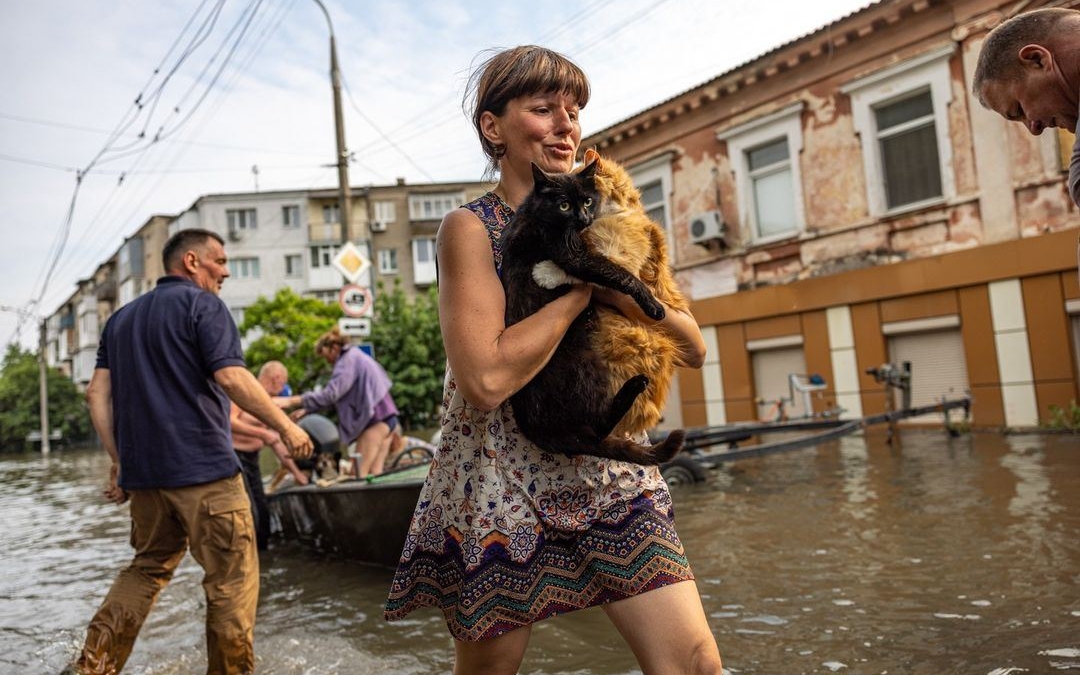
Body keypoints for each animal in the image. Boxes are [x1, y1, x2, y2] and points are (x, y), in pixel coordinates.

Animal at [498, 158, 682, 462]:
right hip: (586, 367)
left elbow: (614, 273)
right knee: (596, 429)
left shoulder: (605, 253)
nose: (584, 219)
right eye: (564, 205)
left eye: (587, 200)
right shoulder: (575, 252)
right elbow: (607, 272)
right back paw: (632, 387)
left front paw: (545, 273)